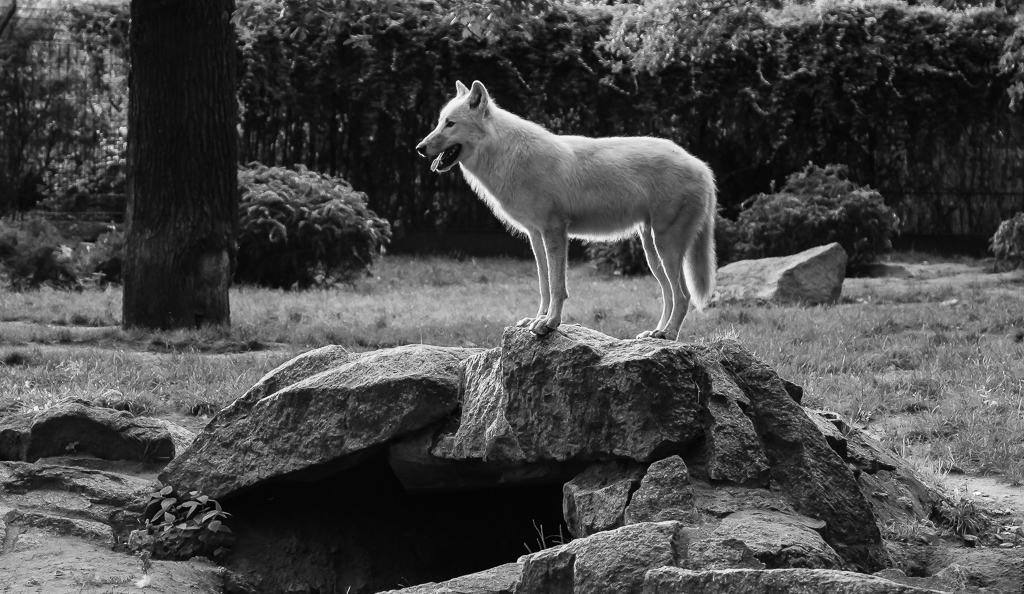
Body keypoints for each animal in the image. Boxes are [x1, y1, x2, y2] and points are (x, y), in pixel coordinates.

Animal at [416, 80, 717, 341]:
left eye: (450, 123)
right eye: (439, 122)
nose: (419, 148)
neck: (509, 154)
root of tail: (703, 167)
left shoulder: (555, 231)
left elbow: (557, 286)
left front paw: (549, 324)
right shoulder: (535, 235)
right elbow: (544, 285)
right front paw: (537, 319)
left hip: (666, 248)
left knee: (683, 296)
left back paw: (669, 334)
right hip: (652, 251)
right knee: (669, 294)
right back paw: (656, 333)